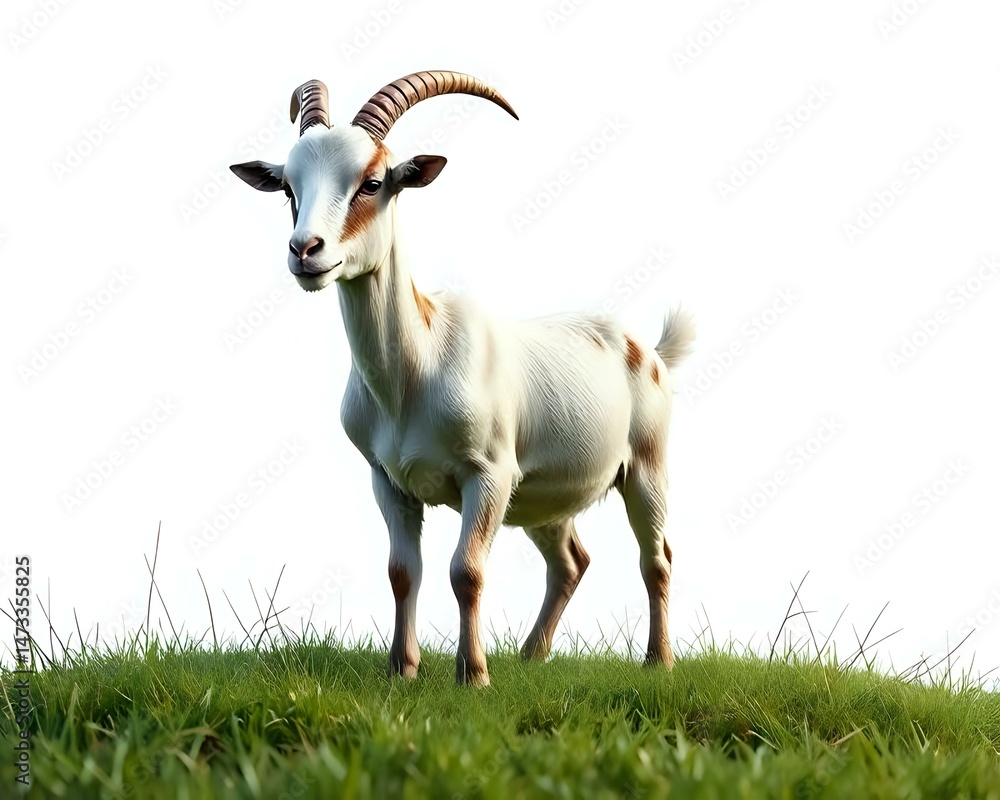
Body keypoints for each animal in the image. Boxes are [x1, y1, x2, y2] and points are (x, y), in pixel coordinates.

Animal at [231, 72, 695, 686]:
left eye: (373, 182)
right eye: (288, 188)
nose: (306, 251)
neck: (415, 371)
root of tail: (649, 349)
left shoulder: (488, 476)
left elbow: (466, 570)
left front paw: (472, 674)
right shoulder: (389, 481)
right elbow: (402, 571)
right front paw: (403, 669)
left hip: (646, 469)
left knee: (657, 559)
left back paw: (657, 661)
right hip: (543, 499)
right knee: (571, 562)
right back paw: (531, 654)